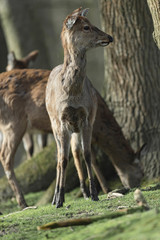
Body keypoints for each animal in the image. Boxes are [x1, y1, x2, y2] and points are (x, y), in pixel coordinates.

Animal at [45, 6, 113, 207]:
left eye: (90, 23)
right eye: (86, 27)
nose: (109, 37)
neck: (73, 95)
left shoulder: (87, 117)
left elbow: (87, 154)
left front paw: (94, 193)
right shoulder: (61, 121)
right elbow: (63, 159)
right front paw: (59, 199)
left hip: (75, 128)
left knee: (75, 152)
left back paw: (84, 191)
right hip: (53, 124)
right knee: (60, 158)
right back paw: (55, 198)